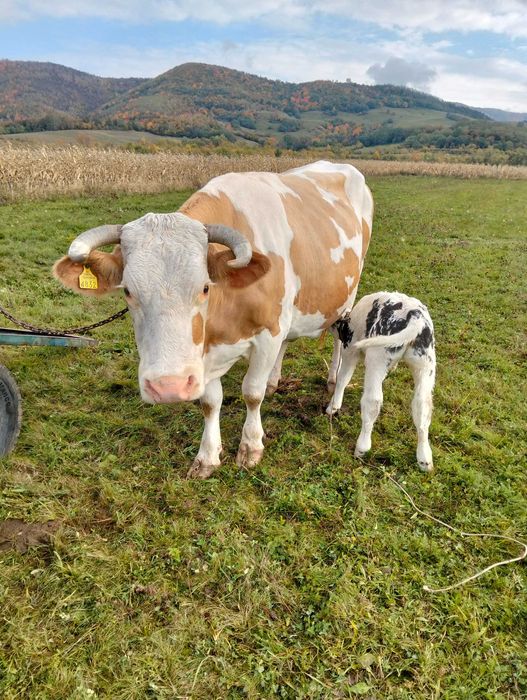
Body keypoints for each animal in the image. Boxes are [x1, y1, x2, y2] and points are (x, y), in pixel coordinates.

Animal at [53, 161, 373, 478]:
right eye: (128, 291)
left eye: (205, 287)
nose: (167, 387)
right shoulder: (204, 352)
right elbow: (210, 402)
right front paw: (207, 456)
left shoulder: (268, 334)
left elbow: (252, 393)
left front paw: (251, 447)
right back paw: (275, 380)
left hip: (347, 295)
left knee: (338, 338)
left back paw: (333, 381)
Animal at [326, 291, 436, 471]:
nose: (330, 325)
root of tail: (414, 316)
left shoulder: (350, 350)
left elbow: (343, 378)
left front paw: (333, 406)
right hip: (425, 365)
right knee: (422, 406)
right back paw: (424, 459)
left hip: (376, 358)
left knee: (373, 401)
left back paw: (362, 448)